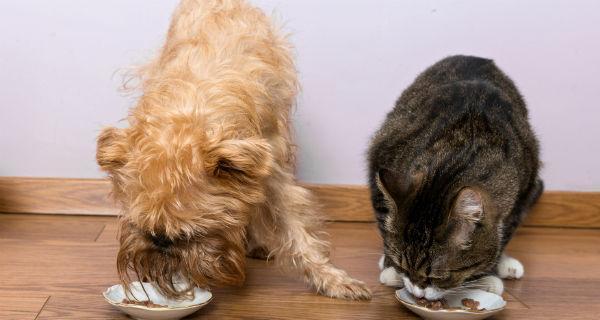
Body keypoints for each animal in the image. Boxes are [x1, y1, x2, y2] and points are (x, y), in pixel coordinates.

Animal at [96, 0, 370, 300]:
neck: (189, 118)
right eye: (145, 229)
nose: (161, 244)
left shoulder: (272, 167)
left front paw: (330, 277)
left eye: (189, 235)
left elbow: (297, 228)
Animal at [366, 55, 544, 300]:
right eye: (403, 266)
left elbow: (502, 237)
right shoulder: (382, 151)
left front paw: (487, 276)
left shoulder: (524, 192)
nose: (418, 294)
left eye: (437, 277)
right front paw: (391, 269)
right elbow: (384, 221)